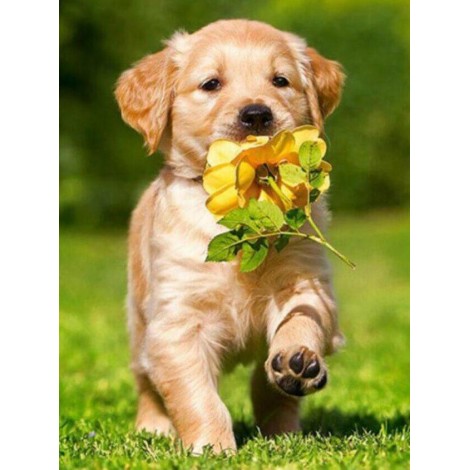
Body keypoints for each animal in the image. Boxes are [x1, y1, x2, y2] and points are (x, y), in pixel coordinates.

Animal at [115, 19, 346, 456]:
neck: (245, 203)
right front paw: (213, 449)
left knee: (267, 389)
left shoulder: (305, 281)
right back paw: (152, 429)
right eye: (211, 83)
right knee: (146, 384)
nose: (256, 114)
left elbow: (303, 318)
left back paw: (285, 426)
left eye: (280, 80)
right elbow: (197, 396)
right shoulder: (176, 323)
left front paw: (298, 357)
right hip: (138, 324)